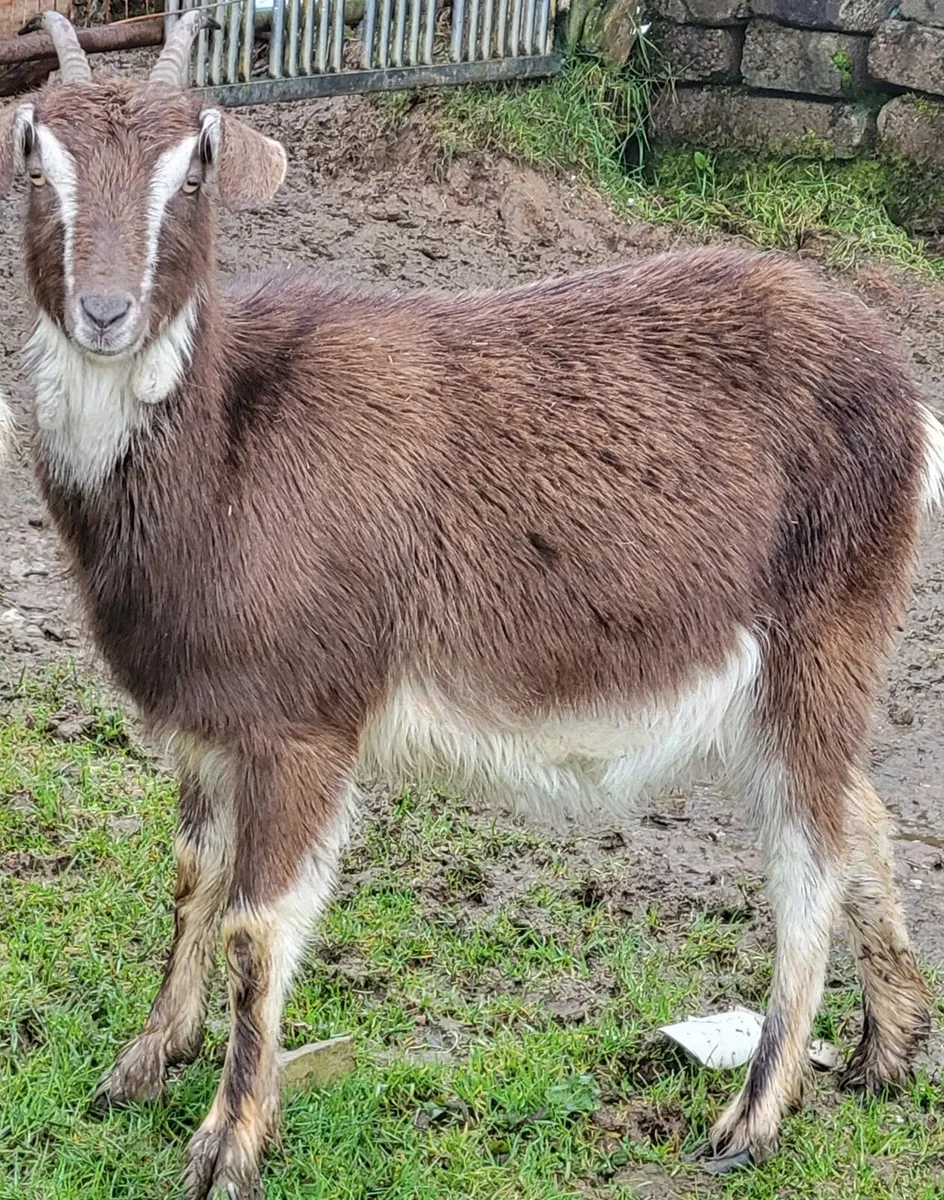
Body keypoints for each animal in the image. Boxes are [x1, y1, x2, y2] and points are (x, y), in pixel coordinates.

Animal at [2, 13, 943, 1198]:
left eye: (197, 164)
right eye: (35, 153)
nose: (106, 312)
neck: (223, 454)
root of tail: (905, 395)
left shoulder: (303, 722)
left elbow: (257, 930)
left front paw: (227, 1145)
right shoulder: (207, 723)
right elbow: (190, 882)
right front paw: (142, 1060)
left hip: (822, 636)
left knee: (806, 861)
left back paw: (753, 1117)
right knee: (859, 813)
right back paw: (887, 1047)